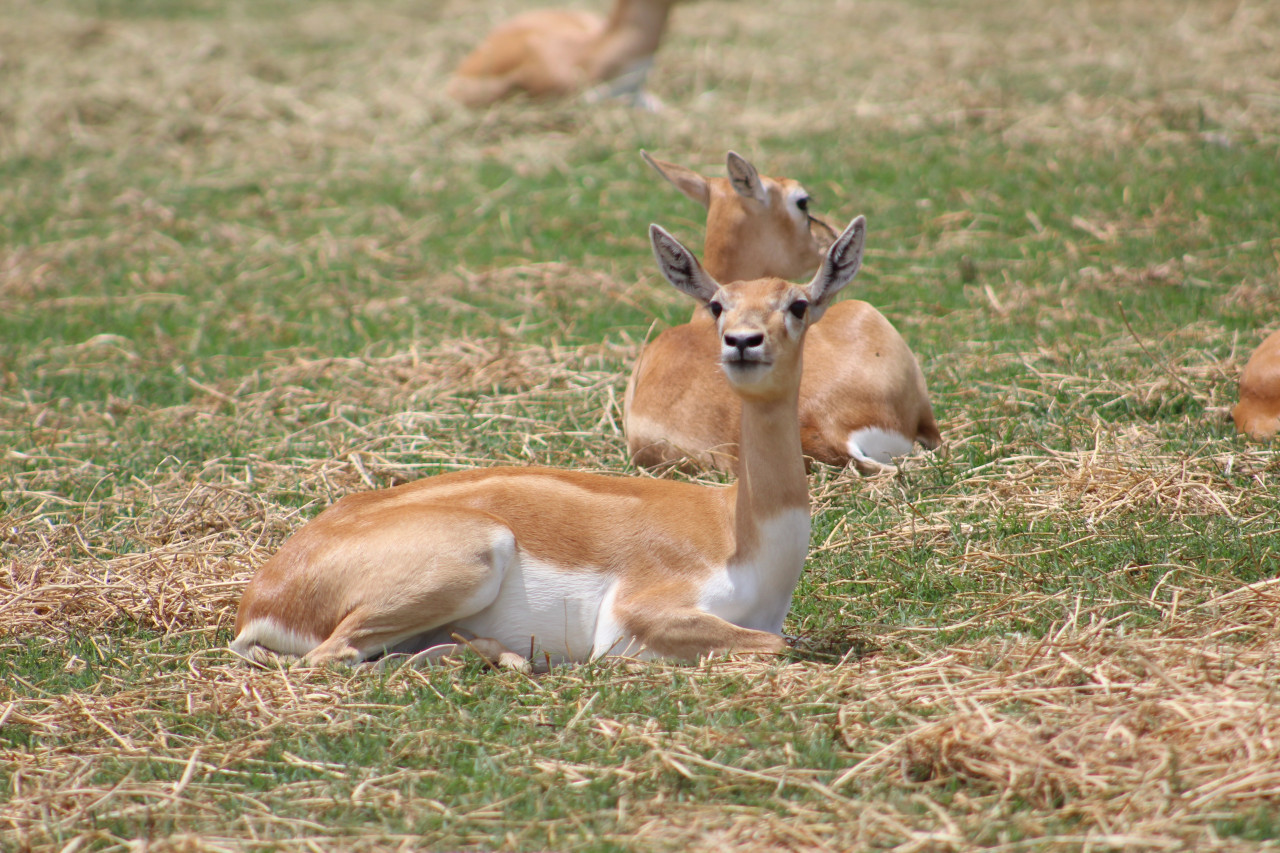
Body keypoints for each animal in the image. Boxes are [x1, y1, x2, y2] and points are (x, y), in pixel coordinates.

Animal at [230, 212, 870, 666]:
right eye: (717, 304)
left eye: (798, 303)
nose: (743, 341)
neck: (741, 533)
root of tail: (262, 594)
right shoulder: (638, 614)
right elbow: (785, 645)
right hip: (473, 556)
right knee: (330, 656)